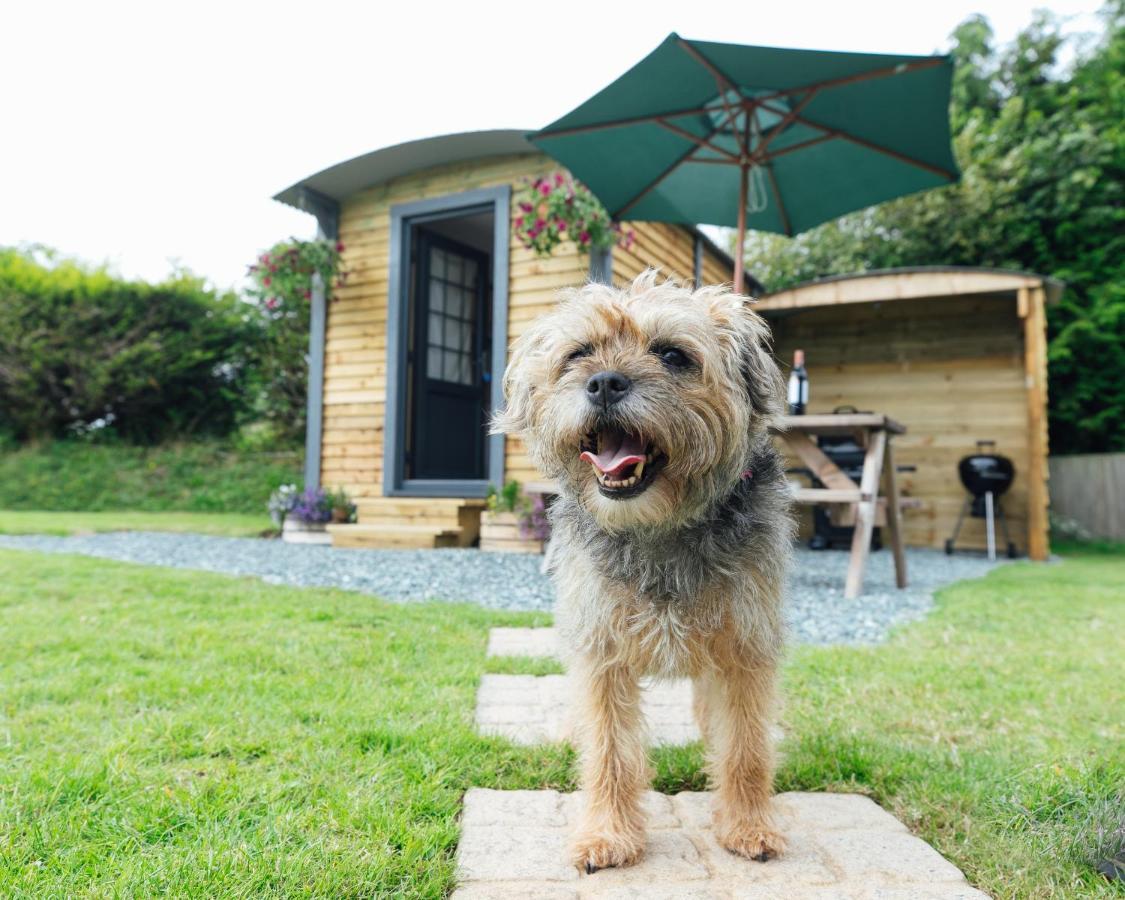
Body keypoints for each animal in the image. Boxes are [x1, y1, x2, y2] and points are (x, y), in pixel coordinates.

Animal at [497, 268, 796, 873]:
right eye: (579, 354)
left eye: (673, 355)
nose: (604, 382)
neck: (660, 529)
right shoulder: (601, 651)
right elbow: (609, 748)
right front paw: (607, 834)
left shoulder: (747, 648)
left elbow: (747, 746)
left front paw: (749, 825)